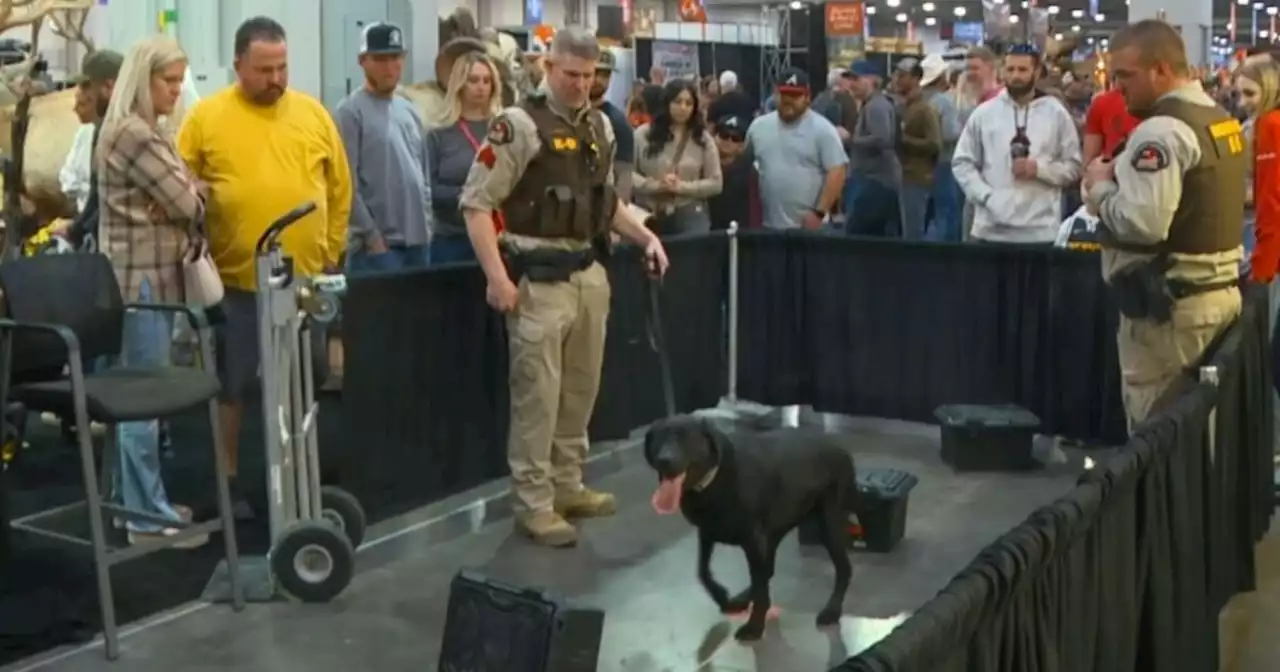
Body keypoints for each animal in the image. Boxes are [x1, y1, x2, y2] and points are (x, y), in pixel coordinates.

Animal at [645, 414, 855, 640]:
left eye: (685, 438)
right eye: (658, 439)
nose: (665, 460)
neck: (713, 481)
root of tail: (839, 448)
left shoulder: (753, 541)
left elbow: (760, 587)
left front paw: (755, 625)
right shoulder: (707, 533)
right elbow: (702, 571)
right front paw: (723, 596)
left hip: (828, 523)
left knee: (843, 569)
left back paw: (831, 610)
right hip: (775, 529)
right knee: (766, 571)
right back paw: (743, 598)